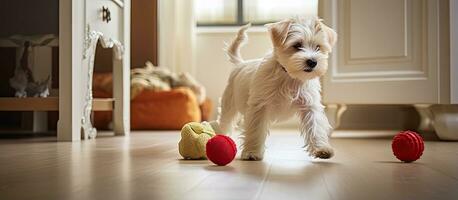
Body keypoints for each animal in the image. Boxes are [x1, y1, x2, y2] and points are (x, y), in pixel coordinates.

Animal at [211, 17, 336, 161]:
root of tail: (240, 64)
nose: (312, 62)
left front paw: (322, 148)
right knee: (224, 122)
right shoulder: (259, 107)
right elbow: (255, 130)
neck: (289, 76)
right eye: (297, 45)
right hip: (229, 106)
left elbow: (316, 127)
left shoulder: (310, 107)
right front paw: (252, 152)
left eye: (318, 47)